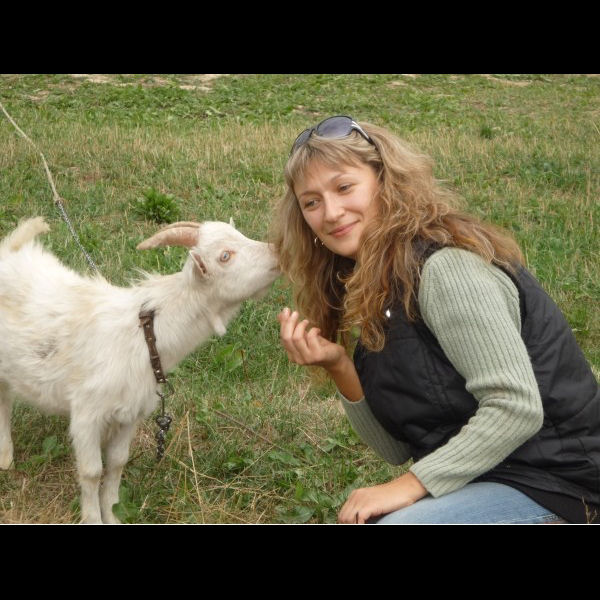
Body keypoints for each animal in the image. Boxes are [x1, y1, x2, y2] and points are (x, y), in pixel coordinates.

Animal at [0, 216, 280, 524]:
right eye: (225, 256)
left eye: (239, 233)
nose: (277, 252)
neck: (145, 336)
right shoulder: (86, 414)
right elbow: (91, 471)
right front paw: (92, 518)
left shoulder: (128, 414)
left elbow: (116, 463)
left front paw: (112, 514)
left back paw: (5, 457)